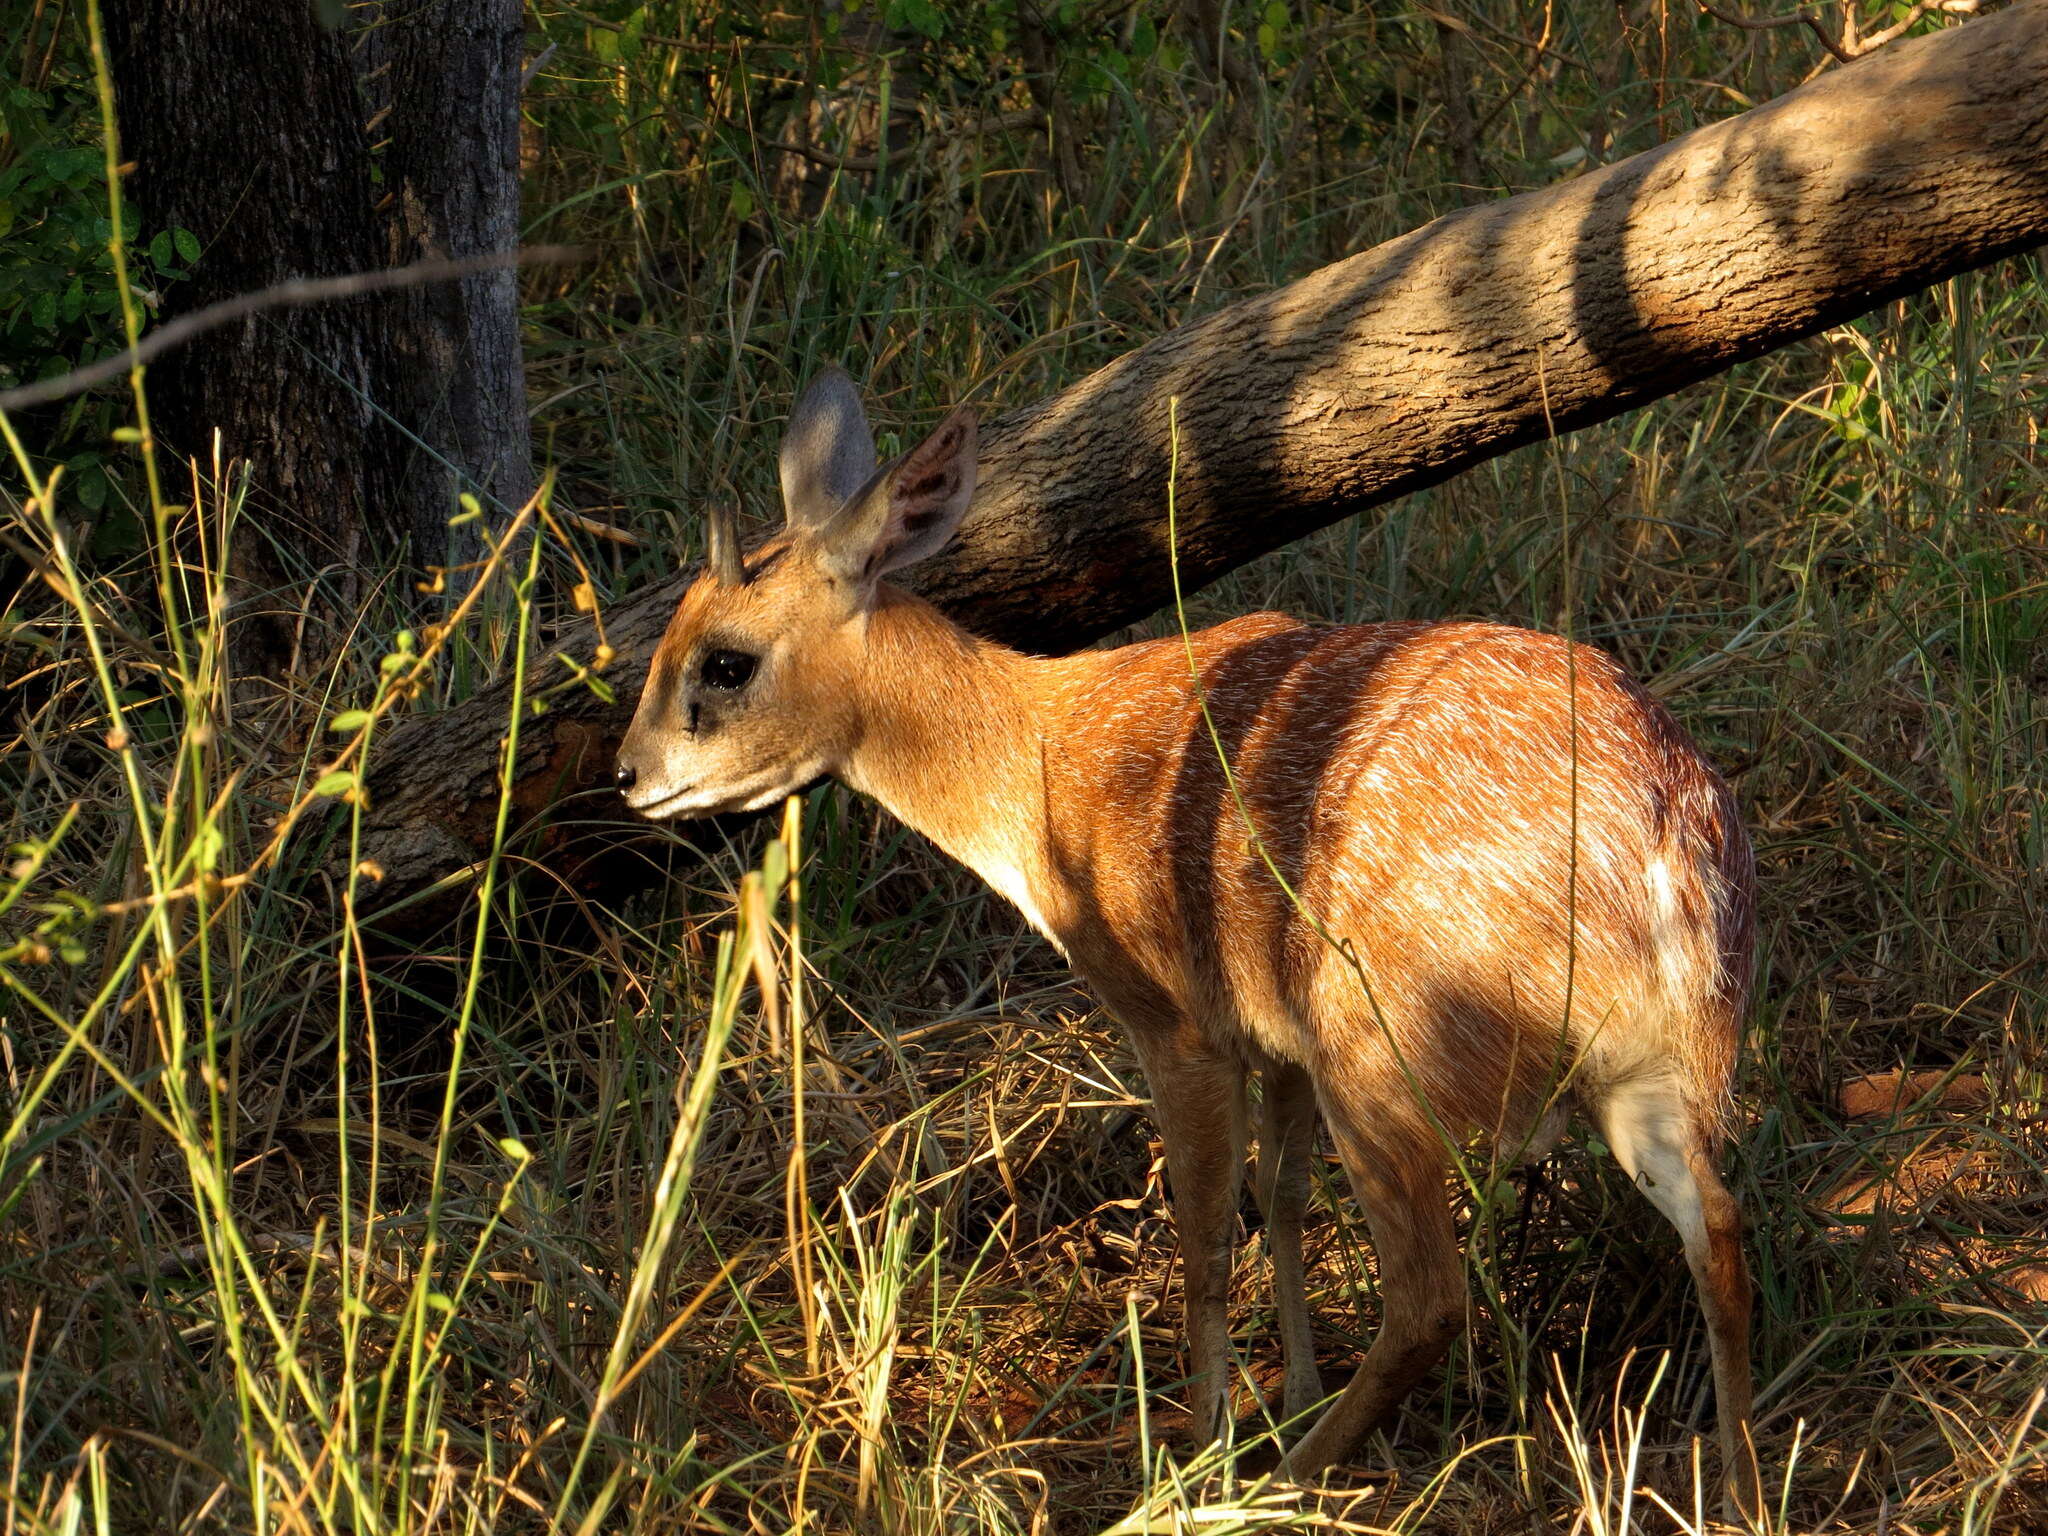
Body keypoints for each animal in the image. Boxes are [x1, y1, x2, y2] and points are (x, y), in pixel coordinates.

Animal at [614, 372, 1753, 1507]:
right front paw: (1284, 1389)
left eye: (725, 662)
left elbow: (1205, 1234)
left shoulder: (1177, 1019)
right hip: (1647, 1068)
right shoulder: (1275, 1037)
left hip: (1385, 1047)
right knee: (1719, 1231)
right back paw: (1737, 1489)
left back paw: (1274, 1484)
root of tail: (1660, 844)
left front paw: (1202, 1447)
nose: (628, 776)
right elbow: (1281, 1201)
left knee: (1429, 1294)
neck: (1033, 775)